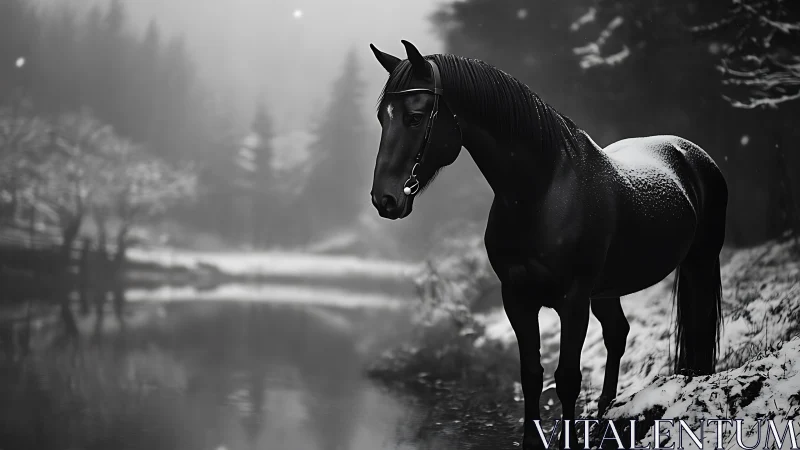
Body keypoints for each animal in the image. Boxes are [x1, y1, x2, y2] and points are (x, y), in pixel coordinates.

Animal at [368, 40, 728, 449]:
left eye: (415, 117)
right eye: (382, 117)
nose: (385, 199)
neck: (540, 193)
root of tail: (692, 152)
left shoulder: (573, 301)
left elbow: (567, 378)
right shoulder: (517, 298)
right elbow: (531, 374)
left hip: (700, 261)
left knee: (696, 327)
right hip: (607, 291)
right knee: (618, 334)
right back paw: (604, 415)